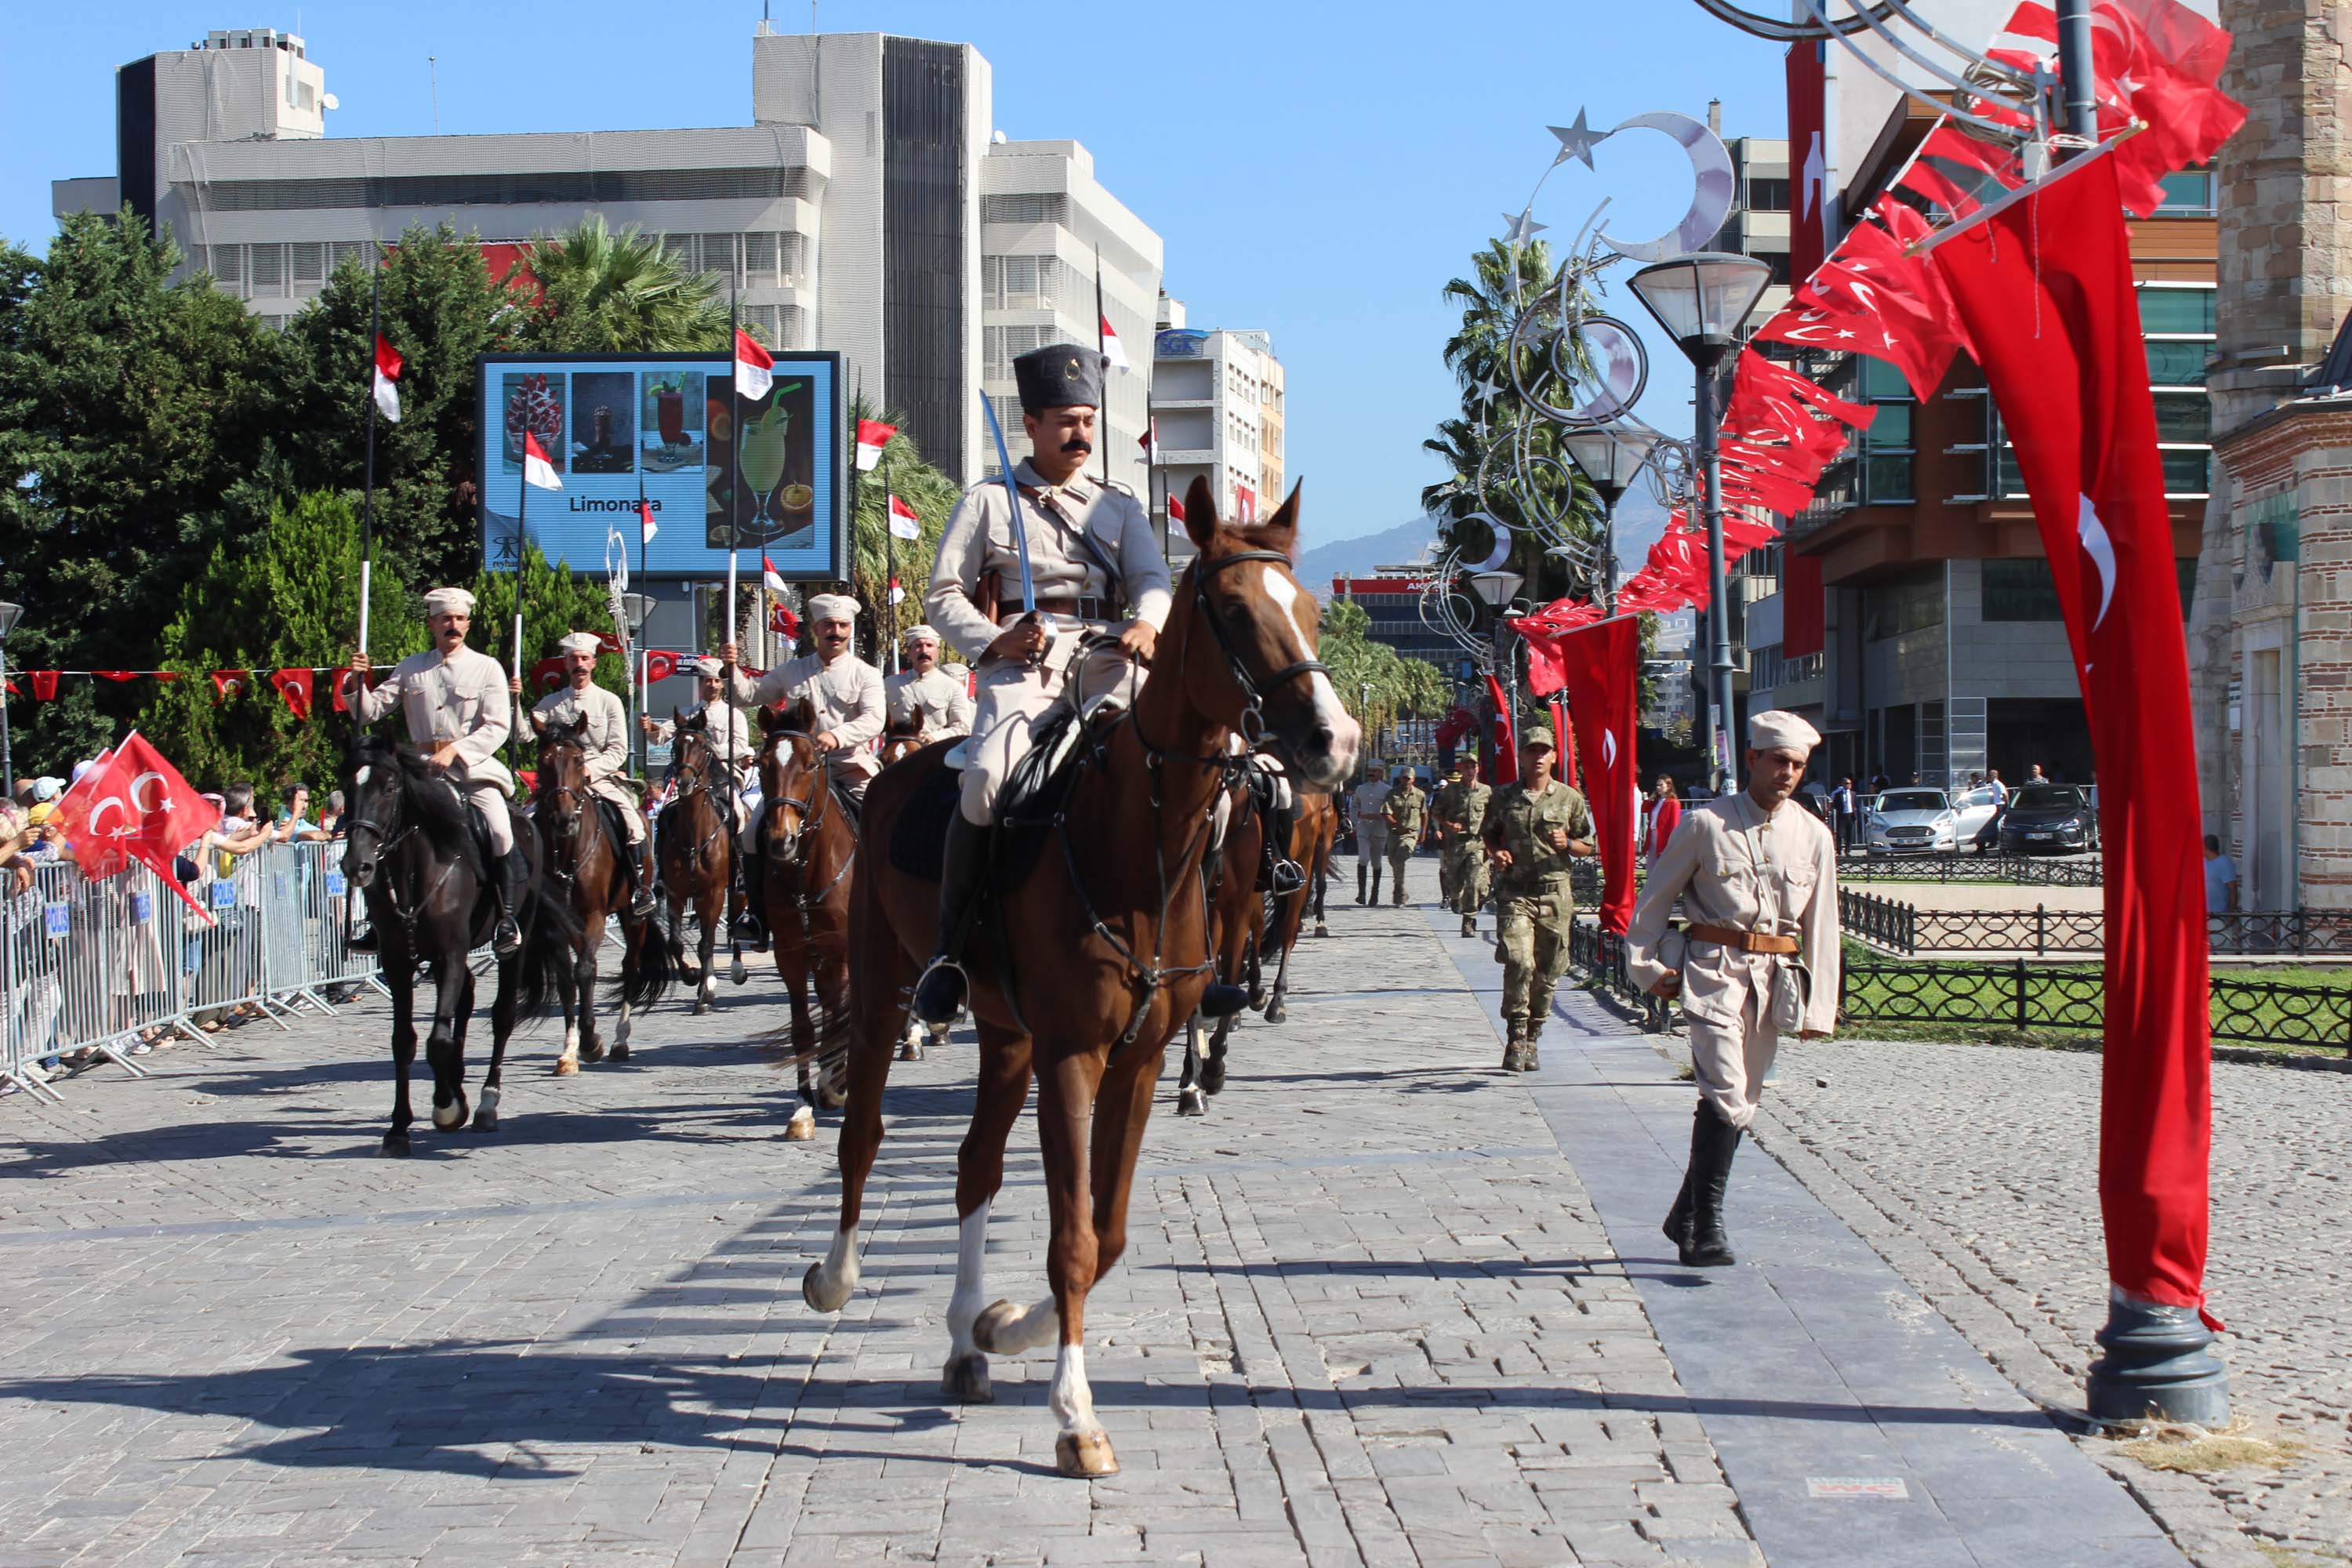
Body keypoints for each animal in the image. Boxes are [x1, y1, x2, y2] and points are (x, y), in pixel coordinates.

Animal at [341, 733, 579, 1152]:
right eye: (345, 788)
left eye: (388, 788)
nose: (358, 866)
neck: (414, 871)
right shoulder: (399, 961)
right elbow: (404, 1040)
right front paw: (399, 1127)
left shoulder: (449, 953)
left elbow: (438, 1040)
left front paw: (447, 1108)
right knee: (465, 1000)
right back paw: (458, 1083)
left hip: (514, 943)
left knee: (501, 1016)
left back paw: (485, 1103)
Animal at [532, 719, 677, 1072]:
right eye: (543, 761)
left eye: (579, 761)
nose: (564, 820)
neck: (567, 854)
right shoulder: (558, 925)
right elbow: (567, 979)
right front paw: (569, 1051)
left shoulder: (594, 916)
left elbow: (585, 970)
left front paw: (590, 1041)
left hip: (632, 915)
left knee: (630, 967)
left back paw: (620, 1041)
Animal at [659, 710, 739, 1020]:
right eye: (675, 746)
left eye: (703, 748)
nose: (684, 783)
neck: (694, 832)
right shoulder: (675, 894)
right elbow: (676, 942)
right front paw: (692, 976)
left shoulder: (715, 892)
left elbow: (706, 942)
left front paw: (705, 995)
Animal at [804, 484, 1364, 1476]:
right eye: (1232, 610)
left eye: (1308, 608)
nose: (1333, 739)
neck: (1135, 838)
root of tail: (900, 768)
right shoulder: (1072, 1054)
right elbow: (1071, 1236)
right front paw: (1075, 1416)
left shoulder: (1132, 1059)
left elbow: (1107, 1232)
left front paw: (1005, 1325)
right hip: (877, 993)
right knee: (863, 1134)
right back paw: (835, 1277)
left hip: (1004, 1033)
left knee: (974, 1164)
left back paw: (964, 1341)